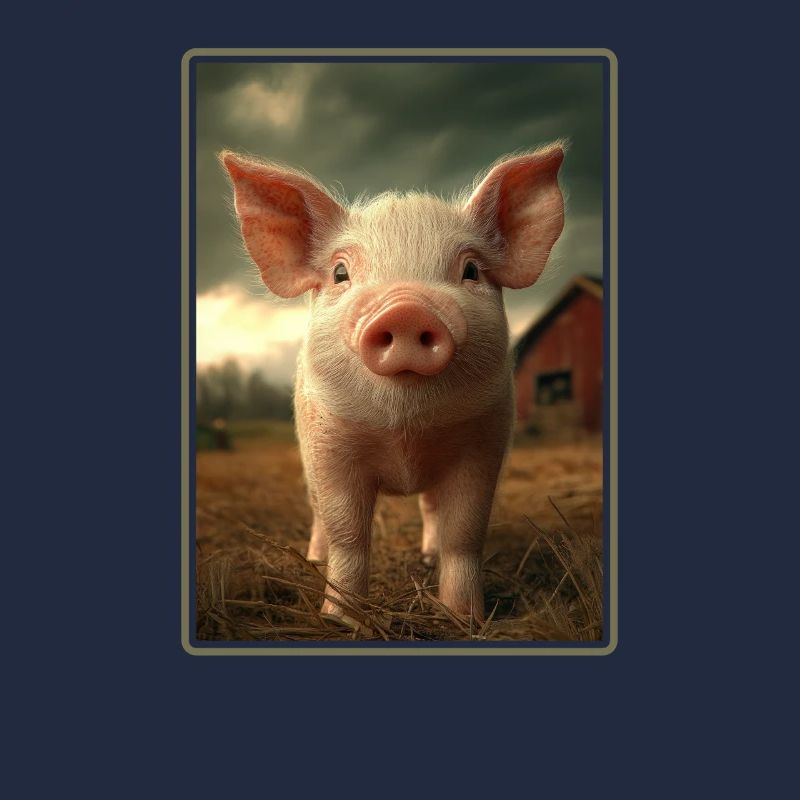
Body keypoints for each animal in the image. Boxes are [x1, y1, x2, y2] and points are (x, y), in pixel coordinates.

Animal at [221, 143, 565, 625]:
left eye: (471, 270)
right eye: (340, 273)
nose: (406, 308)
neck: (405, 433)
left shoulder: (483, 443)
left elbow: (464, 533)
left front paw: (465, 618)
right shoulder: (331, 446)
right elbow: (348, 535)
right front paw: (340, 620)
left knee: (431, 510)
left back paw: (427, 556)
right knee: (318, 514)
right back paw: (314, 558)